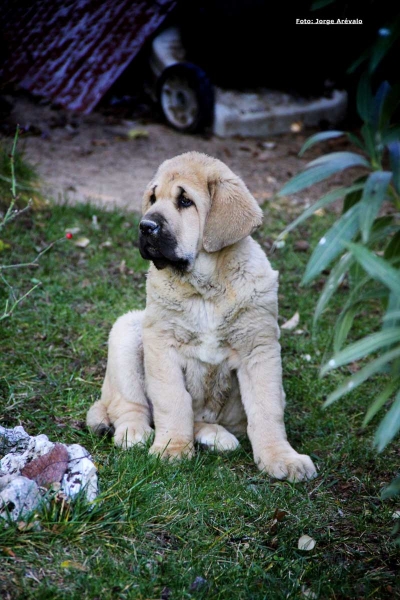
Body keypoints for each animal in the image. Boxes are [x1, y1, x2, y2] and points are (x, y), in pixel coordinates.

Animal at [86, 151, 318, 482]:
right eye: (153, 198)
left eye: (185, 201)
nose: (145, 226)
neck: (206, 289)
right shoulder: (161, 342)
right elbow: (172, 400)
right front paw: (172, 448)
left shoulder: (259, 348)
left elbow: (267, 409)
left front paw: (281, 457)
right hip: (127, 331)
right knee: (127, 405)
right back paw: (134, 432)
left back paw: (214, 436)